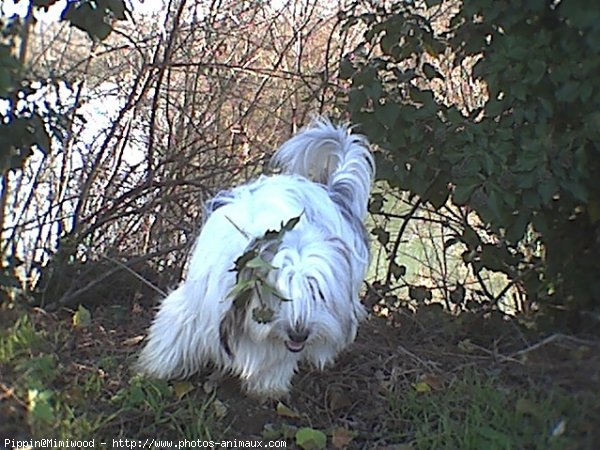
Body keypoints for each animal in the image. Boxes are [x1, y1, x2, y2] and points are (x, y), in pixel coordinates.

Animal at [139, 118, 376, 396]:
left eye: (318, 293)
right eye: (279, 293)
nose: (300, 335)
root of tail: (331, 193)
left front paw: (267, 388)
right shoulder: (197, 303)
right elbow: (175, 333)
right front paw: (155, 370)